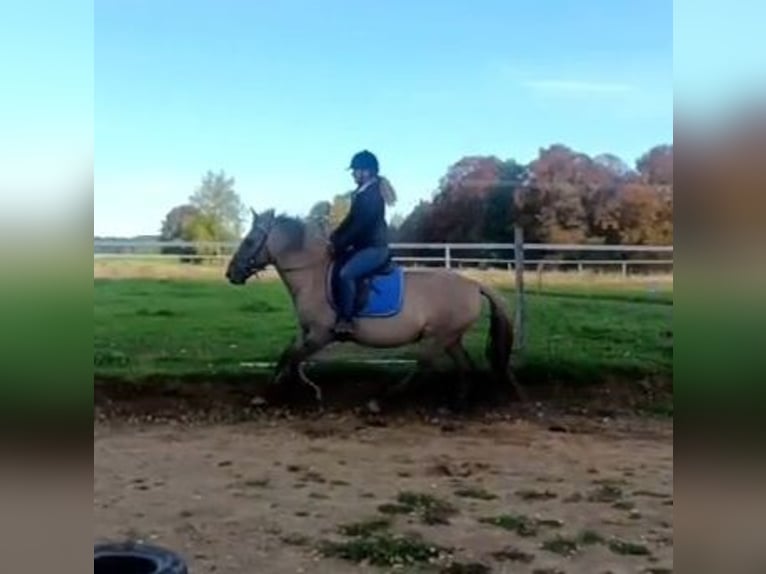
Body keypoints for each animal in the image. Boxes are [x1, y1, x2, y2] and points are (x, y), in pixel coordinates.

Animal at [225, 208, 525, 407]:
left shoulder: (321, 335)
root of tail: (474, 284)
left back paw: (384, 399)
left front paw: (303, 392)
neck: (312, 276)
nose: (231, 274)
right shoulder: (306, 332)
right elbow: (286, 355)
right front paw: (267, 394)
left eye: (249, 241)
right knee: (465, 366)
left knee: (424, 364)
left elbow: (294, 358)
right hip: (451, 338)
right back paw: (458, 402)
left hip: (441, 336)